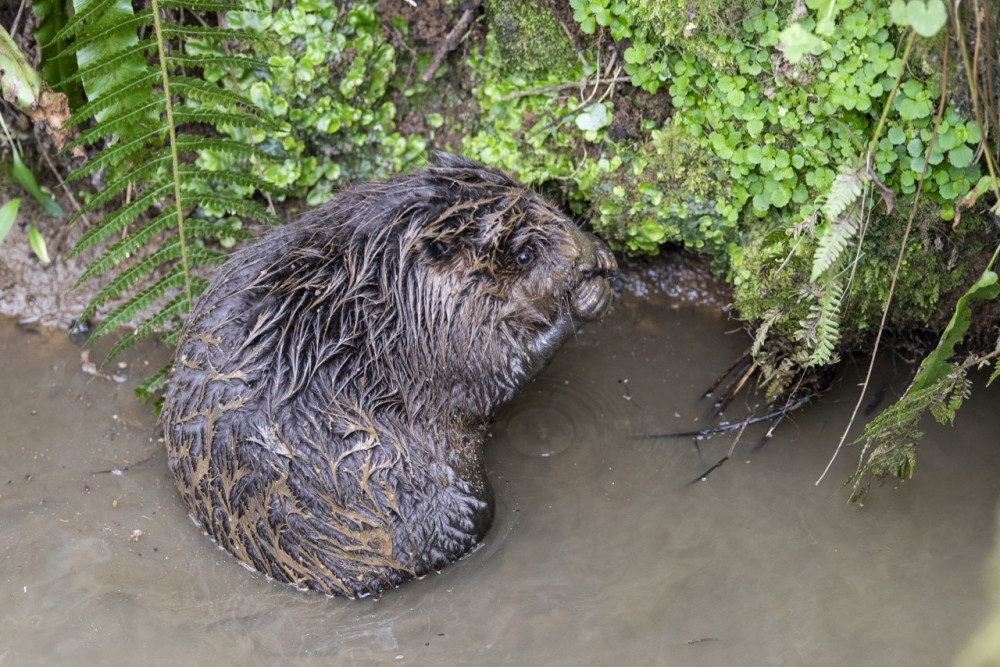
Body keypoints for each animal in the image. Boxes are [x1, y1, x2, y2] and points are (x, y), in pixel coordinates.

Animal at [162, 154, 616, 596]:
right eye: (525, 255)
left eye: (548, 202)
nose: (586, 260)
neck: (383, 288)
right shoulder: (441, 335)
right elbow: (497, 371)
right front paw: (587, 298)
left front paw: (603, 253)